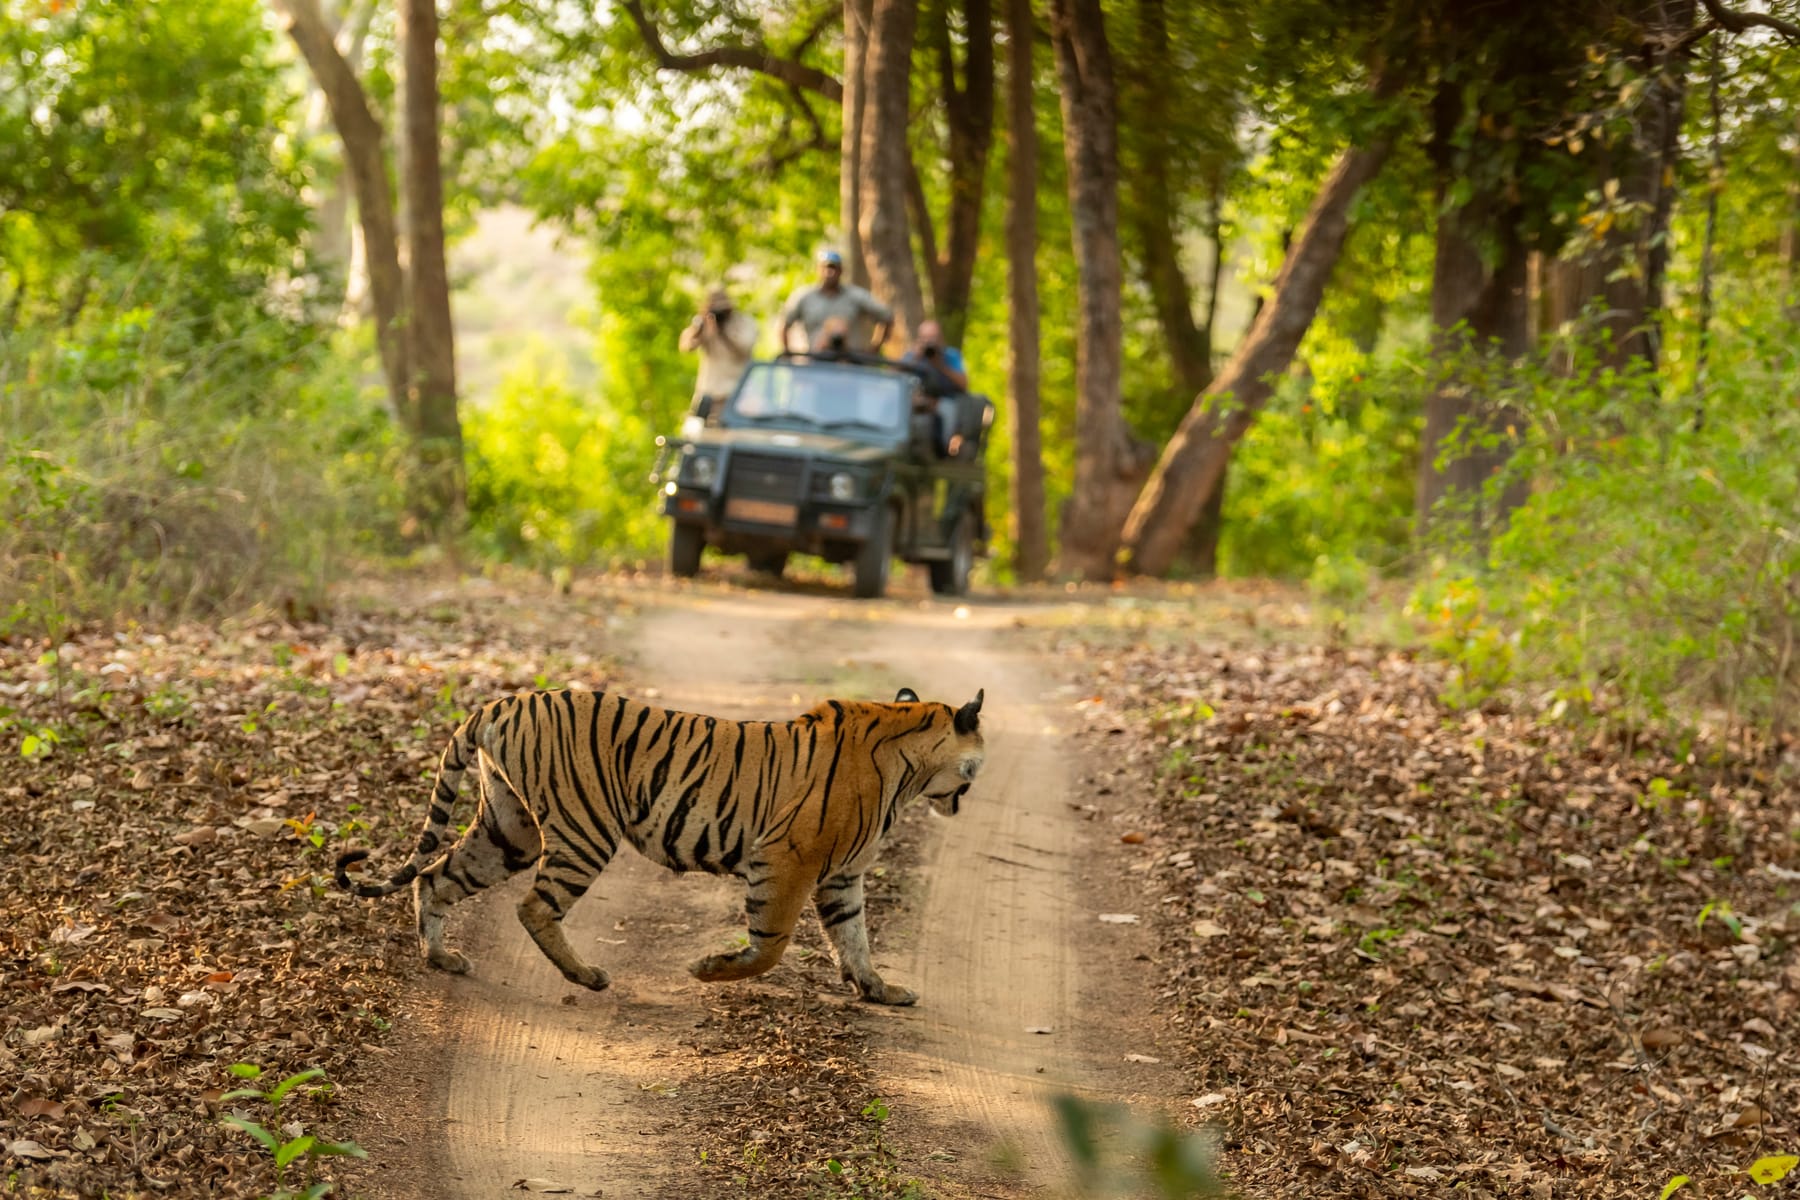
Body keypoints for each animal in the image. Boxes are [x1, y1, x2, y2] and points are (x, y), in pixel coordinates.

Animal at [335, 685, 985, 1006]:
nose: (973, 790)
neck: (909, 765)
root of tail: (499, 702)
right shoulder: (786, 860)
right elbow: (771, 946)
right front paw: (709, 970)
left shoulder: (842, 876)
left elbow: (855, 938)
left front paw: (880, 991)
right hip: (585, 830)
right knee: (534, 906)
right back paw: (587, 977)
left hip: (507, 827)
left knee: (435, 876)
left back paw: (441, 958)